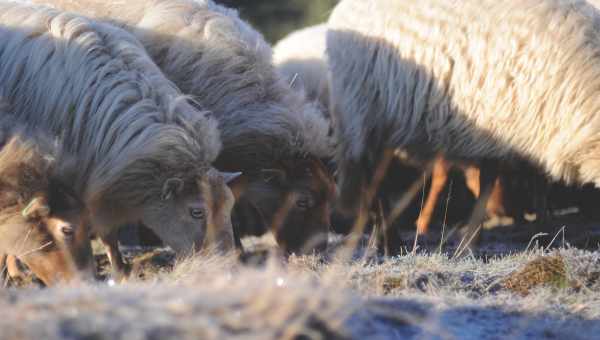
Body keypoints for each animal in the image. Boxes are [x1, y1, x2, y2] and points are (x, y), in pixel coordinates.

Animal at [326, 0, 600, 250]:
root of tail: (341, 10)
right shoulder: (500, 125)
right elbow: (491, 182)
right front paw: (469, 244)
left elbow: (533, 183)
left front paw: (544, 234)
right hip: (363, 113)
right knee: (373, 178)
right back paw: (387, 242)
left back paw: (384, 240)